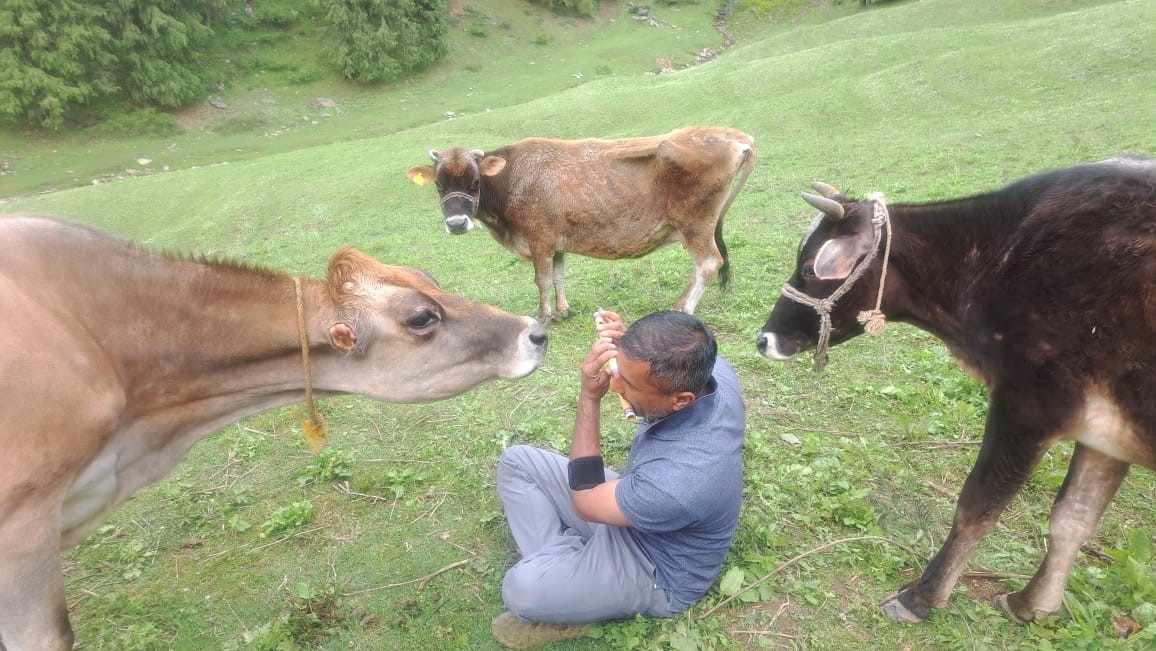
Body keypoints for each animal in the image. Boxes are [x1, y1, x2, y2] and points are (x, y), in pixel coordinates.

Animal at [405, 126, 756, 322]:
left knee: (709, 263)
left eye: (476, 182)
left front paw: (544, 315)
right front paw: (563, 311)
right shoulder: (556, 242)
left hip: (696, 224)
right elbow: (559, 277)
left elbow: (542, 280)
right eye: (438, 184)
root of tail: (733, 135)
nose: (456, 223)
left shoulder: (539, 239)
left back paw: (683, 308)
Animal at [755, 158, 1156, 625]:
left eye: (808, 268)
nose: (764, 339)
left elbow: (977, 507)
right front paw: (1032, 604)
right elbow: (1073, 519)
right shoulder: (1104, 434)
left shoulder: (1028, 404)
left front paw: (921, 597)